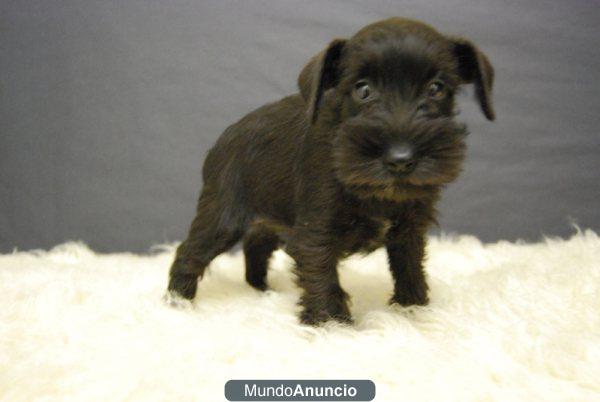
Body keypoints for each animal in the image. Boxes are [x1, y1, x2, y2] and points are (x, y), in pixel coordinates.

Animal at [166, 18, 494, 326]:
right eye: (363, 90)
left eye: (436, 88)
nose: (401, 159)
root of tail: (223, 139)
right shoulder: (316, 228)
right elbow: (322, 273)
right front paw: (330, 324)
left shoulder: (409, 228)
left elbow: (409, 267)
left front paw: (413, 310)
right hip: (222, 217)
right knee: (189, 251)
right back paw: (177, 302)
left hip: (269, 216)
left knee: (256, 244)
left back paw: (262, 291)